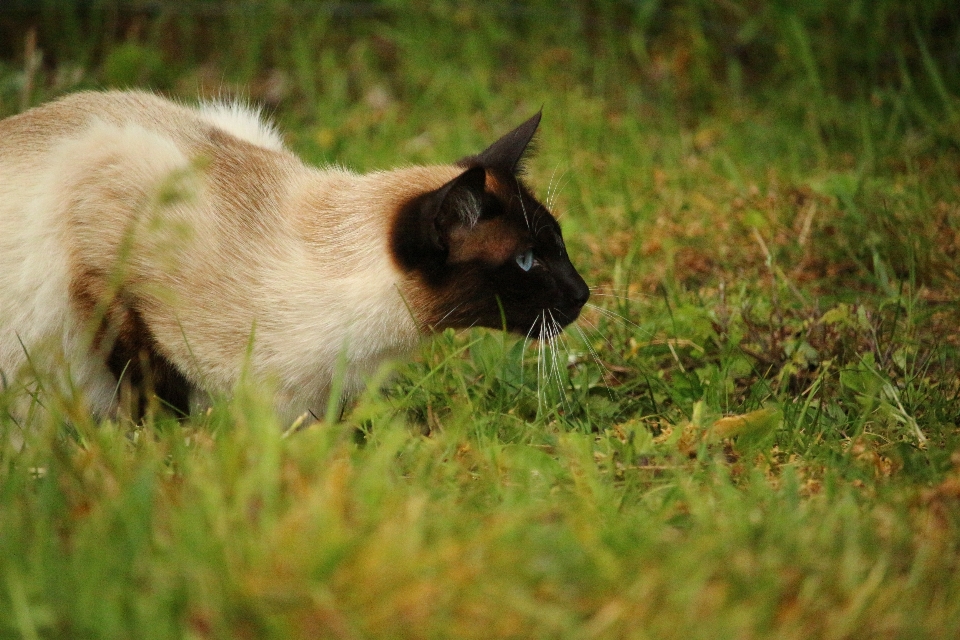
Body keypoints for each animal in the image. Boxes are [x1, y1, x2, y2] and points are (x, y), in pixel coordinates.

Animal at [0, 89, 588, 420]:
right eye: (527, 261)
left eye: (558, 246)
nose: (584, 294)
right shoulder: (110, 264)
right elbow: (155, 393)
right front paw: (172, 457)